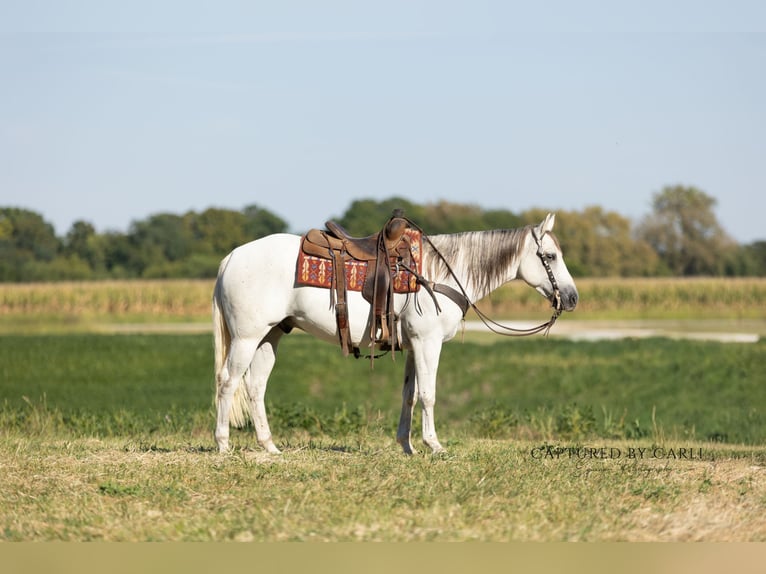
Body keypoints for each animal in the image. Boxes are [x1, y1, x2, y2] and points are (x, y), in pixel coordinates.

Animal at [212, 213, 578, 455]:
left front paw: (407, 446)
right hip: (246, 338)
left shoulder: (414, 346)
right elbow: (428, 394)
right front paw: (434, 446)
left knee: (255, 387)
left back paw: (269, 446)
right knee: (228, 382)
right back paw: (223, 444)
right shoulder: (428, 343)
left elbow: (409, 395)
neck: (443, 272)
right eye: (549, 256)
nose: (572, 297)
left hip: (270, 336)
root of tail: (231, 257)